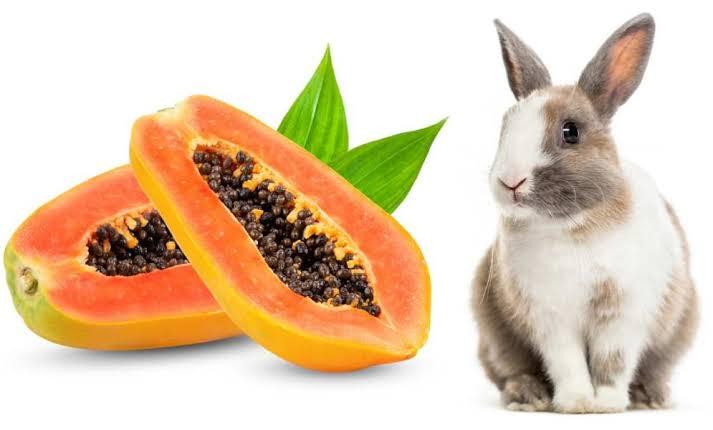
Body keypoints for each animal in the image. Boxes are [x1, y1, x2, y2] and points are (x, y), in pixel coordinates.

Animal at [471, 13, 698, 413]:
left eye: (571, 132)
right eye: (505, 127)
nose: (510, 181)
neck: (571, 226)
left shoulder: (623, 314)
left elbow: (613, 361)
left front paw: (605, 403)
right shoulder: (551, 318)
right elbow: (568, 362)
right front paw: (577, 402)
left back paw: (651, 397)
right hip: (495, 335)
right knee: (510, 369)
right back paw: (528, 397)